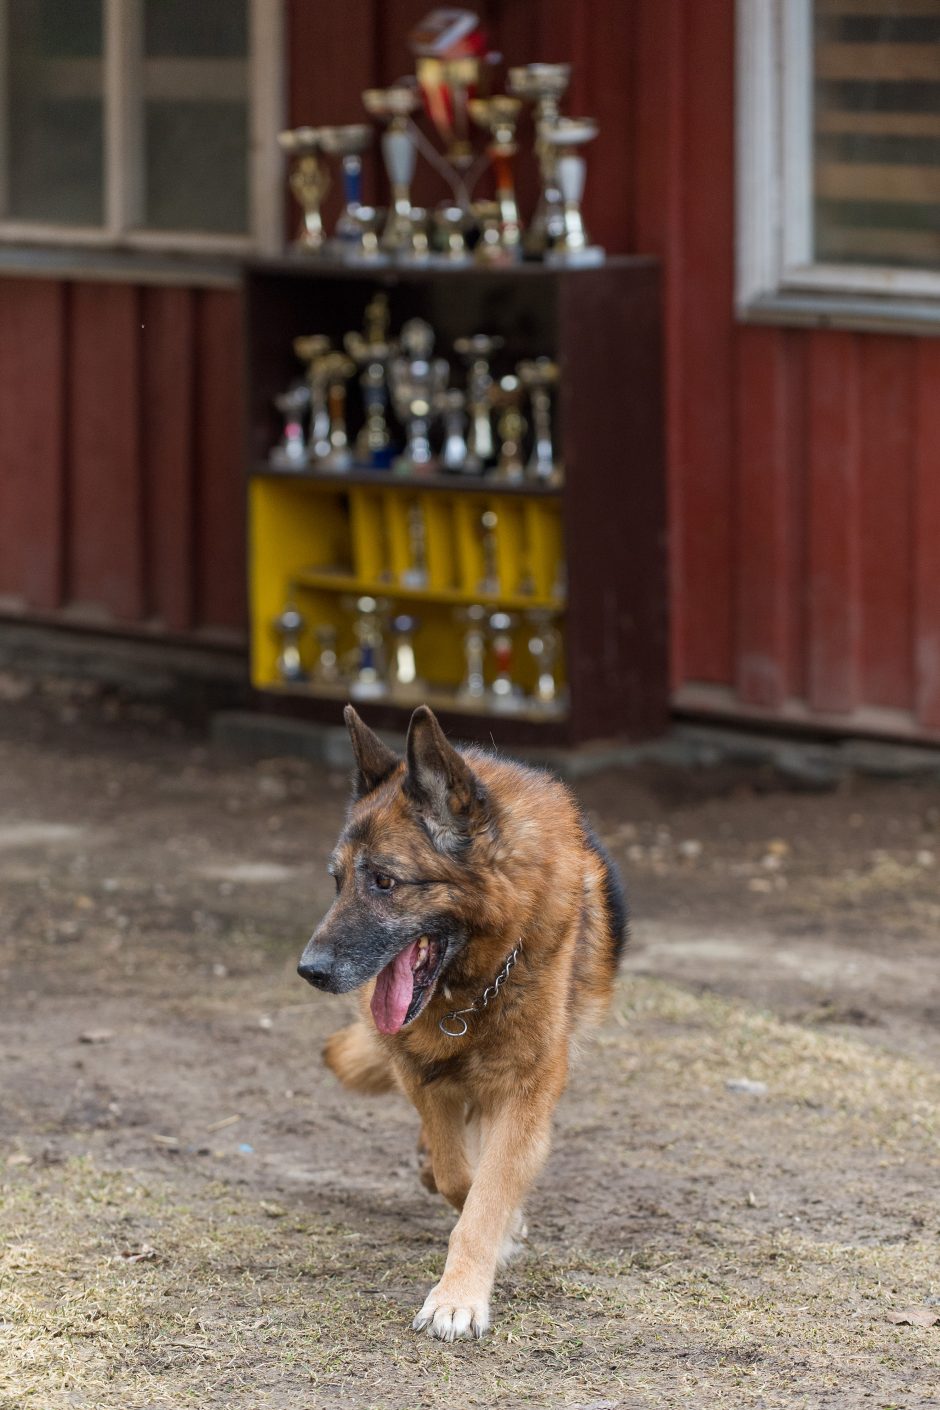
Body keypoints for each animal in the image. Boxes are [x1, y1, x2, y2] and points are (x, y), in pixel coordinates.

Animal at [297, 705, 628, 1342]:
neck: (475, 985)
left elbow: (487, 1197)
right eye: (337, 881)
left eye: (385, 881)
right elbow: (458, 1176)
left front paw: (460, 1296)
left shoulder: (523, 1094)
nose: (310, 970)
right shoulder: (419, 1070)